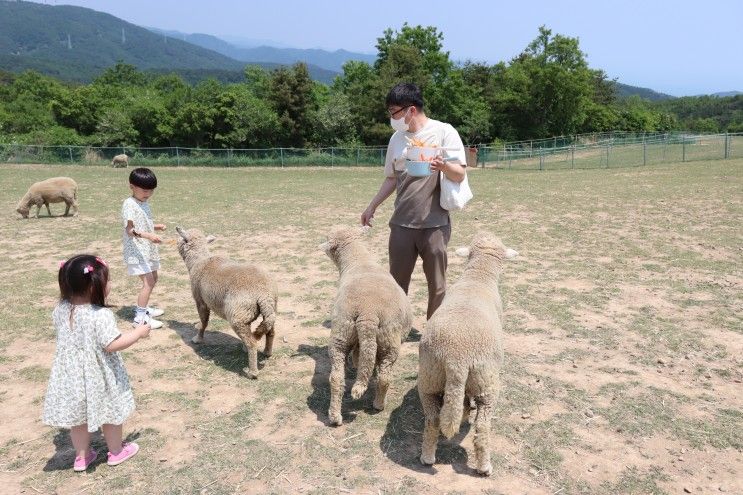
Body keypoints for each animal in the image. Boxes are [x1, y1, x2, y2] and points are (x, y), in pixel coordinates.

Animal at [175, 228, 280, 380]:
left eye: (181, 238)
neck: (199, 261)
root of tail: (264, 295)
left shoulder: (201, 301)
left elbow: (203, 322)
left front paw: (198, 339)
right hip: (266, 311)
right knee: (270, 332)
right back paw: (267, 352)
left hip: (238, 315)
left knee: (252, 343)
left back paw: (252, 372)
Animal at [320, 228, 412, 426]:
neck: (358, 260)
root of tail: (368, 312)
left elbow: (360, 355)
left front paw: (356, 365)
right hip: (389, 340)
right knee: (385, 376)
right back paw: (379, 404)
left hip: (342, 333)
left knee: (336, 378)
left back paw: (335, 416)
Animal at [418, 232, 516, 476]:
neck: (478, 276)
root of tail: (456, 357)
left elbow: (460, 401)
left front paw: (463, 412)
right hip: (486, 382)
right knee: (482, 427)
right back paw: (484, 467)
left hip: (430, 376)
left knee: (433, 419)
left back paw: (427, 457)